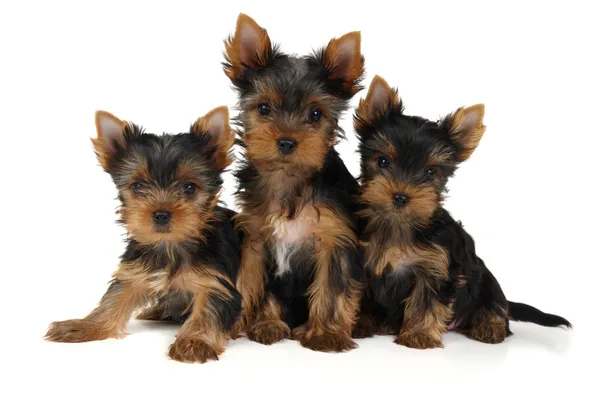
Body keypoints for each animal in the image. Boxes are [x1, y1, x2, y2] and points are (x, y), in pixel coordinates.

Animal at [45, 107, 241, 362]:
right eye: (137, 186)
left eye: (190, 187)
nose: (161, 214)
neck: (169, 244)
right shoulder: (134, 271)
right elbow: (114, 298)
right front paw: (85, 325)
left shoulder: (216, 281)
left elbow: (208, 310)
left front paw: (194, 341)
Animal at [224, 14, 366, 352]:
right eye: (263, 108)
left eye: (316, 114)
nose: (287, 141)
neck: (288, 180)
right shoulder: (256, 239)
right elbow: (251, 282)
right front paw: (252, 322)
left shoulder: (335, 239)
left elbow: (331, 287)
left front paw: (326, 333)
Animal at [354, 76, 568, 346]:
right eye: (382, 161)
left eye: (430, 172)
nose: (401, 196)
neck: (399, 224)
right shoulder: (367, 265)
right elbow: (365, 298)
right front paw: (361, 323)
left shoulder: (436, 268)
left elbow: (426, 301)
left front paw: (419, 334)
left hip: (486, 283)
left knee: (495, 306)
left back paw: (489, 326)